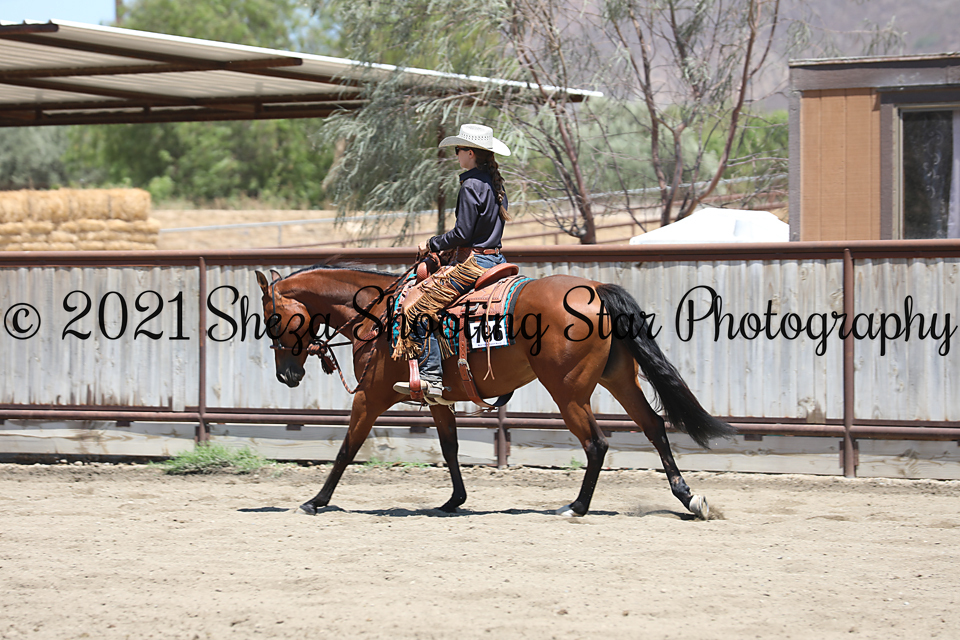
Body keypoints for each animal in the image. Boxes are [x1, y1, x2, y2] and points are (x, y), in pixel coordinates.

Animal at [255, 262, 735, 519]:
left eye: (273, 319)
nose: (286, 376)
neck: (377, 317)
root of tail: (597, 289)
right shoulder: (437, 399)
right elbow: (449, 448)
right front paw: (454, 500)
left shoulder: (369, 397)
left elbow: (346, 449)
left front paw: (315, 501)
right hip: (618, 379)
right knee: (654, 427)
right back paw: (689, 498)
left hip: (568, 392)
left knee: (597, 443)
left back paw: (576, 507)